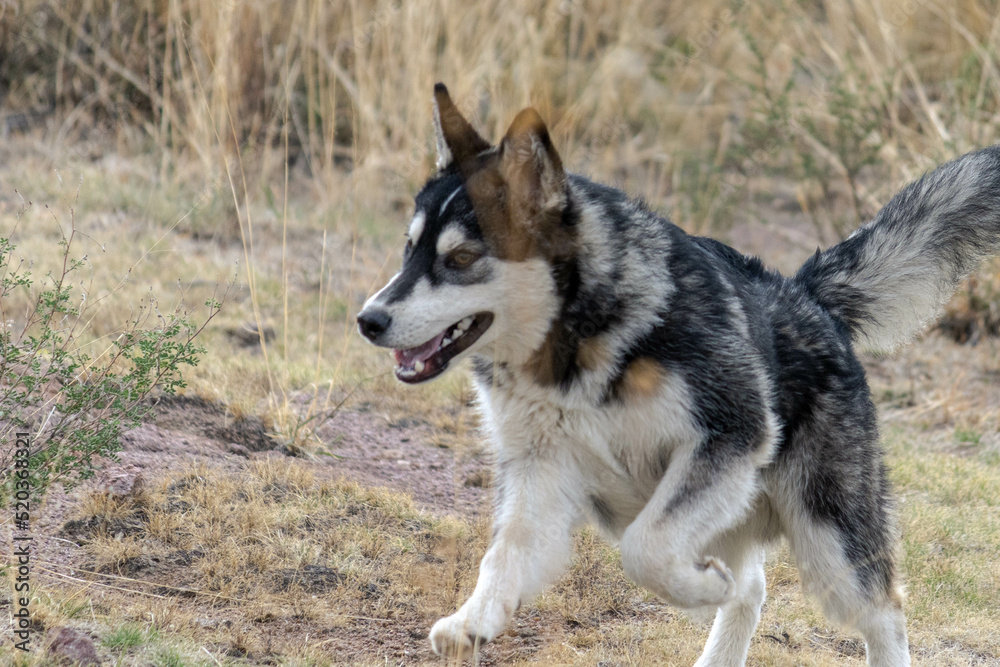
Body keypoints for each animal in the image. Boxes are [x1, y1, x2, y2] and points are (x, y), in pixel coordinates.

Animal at [356, 85, 996, 667]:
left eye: (461, 259)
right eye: (410, 250)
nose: (368, 319)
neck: (576, 342)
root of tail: (809, 296)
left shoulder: (725, 440)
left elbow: (645, 550)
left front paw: (700, 586)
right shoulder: (540, 469)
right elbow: (504, 556)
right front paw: (473, 622)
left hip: (827, 539)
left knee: (882, 609)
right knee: (753, 588)